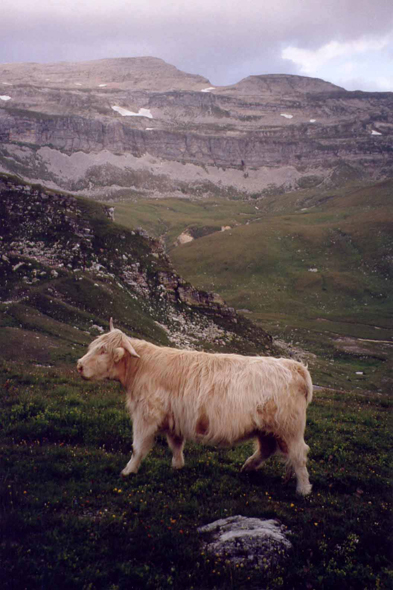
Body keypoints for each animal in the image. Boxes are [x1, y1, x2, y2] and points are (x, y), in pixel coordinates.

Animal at [77, 322, 312, 498]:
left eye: (103, 350)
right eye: (94, 346)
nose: (79, 365)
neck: (141, 367)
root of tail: (295, 366)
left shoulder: (146, 415)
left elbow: (138, 447)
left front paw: (128, 471)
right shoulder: (173, 419)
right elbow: (175, 444)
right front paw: (177, 466)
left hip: (289, 427)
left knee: (299, 454)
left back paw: (303, 489)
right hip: (268, 428)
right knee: (269, 449)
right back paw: (249, 467)